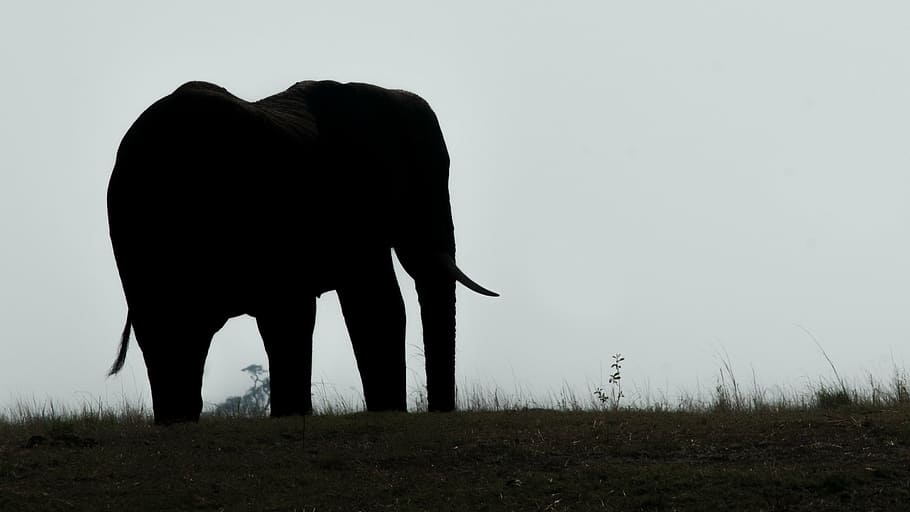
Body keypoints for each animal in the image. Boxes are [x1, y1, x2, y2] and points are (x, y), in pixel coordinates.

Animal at [107, 80, 497, 424]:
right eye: (424, 182)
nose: (439, 412)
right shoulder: (351, 203)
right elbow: (376, 304)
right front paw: (384, 413)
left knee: (172, 326)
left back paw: (177, 420)